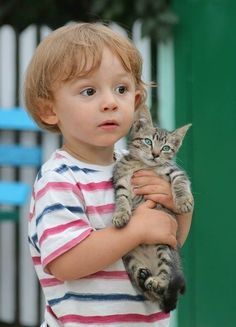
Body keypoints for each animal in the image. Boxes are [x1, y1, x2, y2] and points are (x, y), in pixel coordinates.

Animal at [112, 104, 194, 312]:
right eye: (148, 141)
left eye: (165, 148)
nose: (155, 154)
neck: (143, 164)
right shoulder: (121, 180)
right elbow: (122, 198)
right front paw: (121, 214)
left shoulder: (175, 171)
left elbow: (180, 182)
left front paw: (183, 201)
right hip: (129, 254)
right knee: (146, 288)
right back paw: (143, 276)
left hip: (164, 248)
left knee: (165, 277)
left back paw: (156, 282)